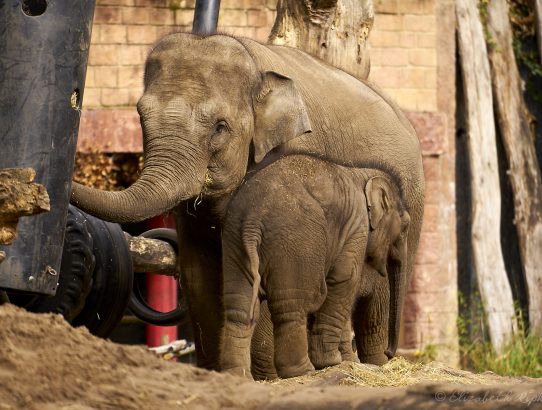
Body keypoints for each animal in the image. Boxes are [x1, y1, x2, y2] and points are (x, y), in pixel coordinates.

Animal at [219, 155, 410, 380]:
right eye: (405, 226)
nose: (389, 353)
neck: (362, 172)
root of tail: (252, 222)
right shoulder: (357, 226)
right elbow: (345, 278)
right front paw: (331, 362)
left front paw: (345, 361)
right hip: (296, 243)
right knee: (293, 306)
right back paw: (302, 371)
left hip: (234, 241)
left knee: (239, 307)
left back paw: (236, 375)